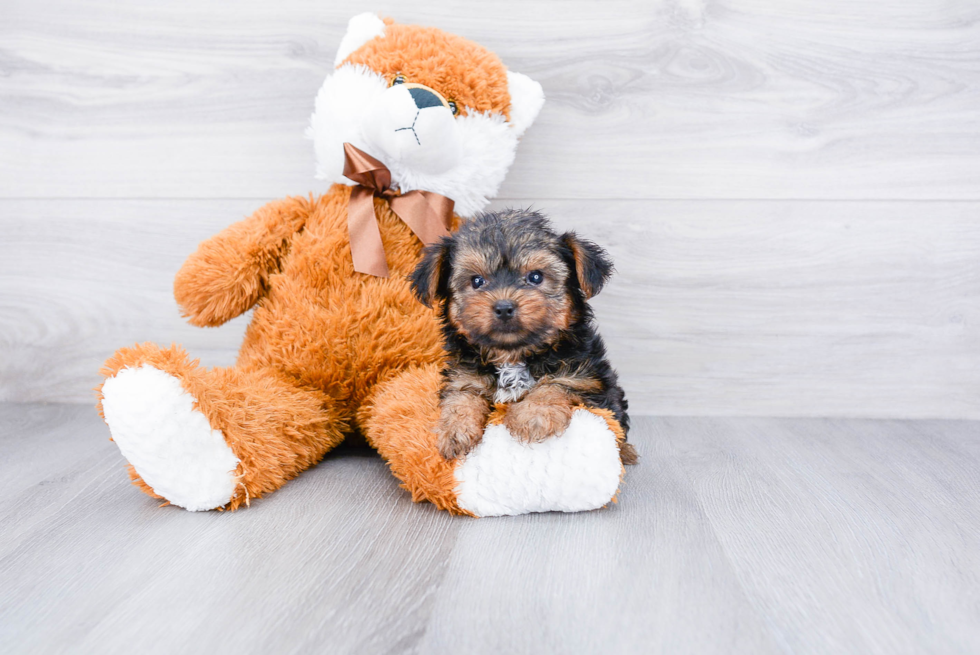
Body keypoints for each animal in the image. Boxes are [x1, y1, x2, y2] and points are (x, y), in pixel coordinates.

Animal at [412, 213, 636, 464]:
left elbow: (556, 385)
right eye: (477, 281)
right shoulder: (464, 377)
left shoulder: (587, 380)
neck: (513, 356)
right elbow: (461, 397)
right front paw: (454, 430)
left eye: (535, 277)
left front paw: (533, 416)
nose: (504, 307)